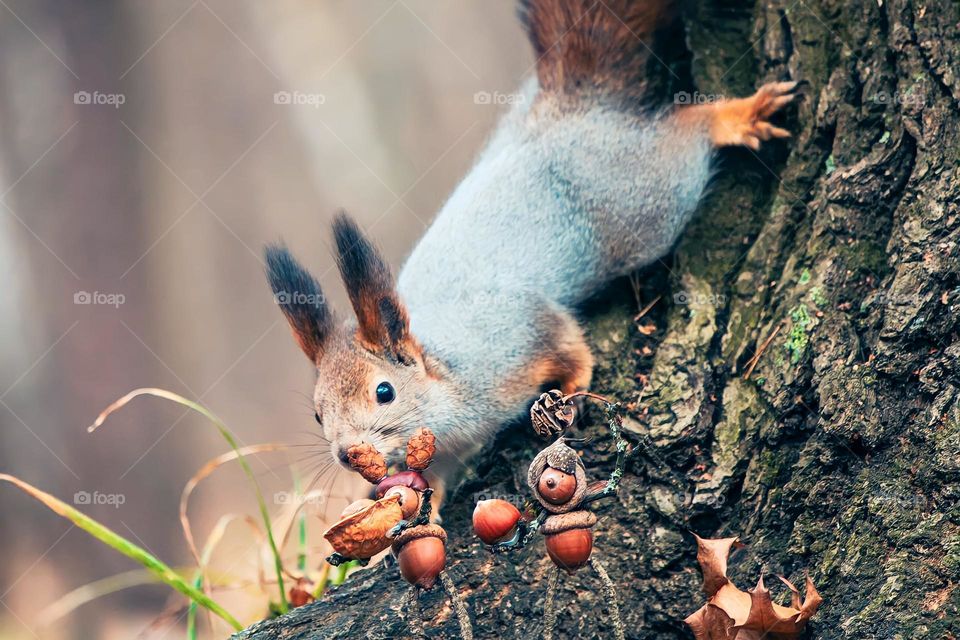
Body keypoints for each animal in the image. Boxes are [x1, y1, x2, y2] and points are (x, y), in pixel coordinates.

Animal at [262, 0, 796, 510]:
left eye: (384, 392)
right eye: (317, 413)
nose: (348, 454)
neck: (445, 380)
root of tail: (572, 111)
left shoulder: (517, 333)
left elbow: (567, 342)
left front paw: (573, 386)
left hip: (648, 198)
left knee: (686, 135)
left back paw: (731, 117)